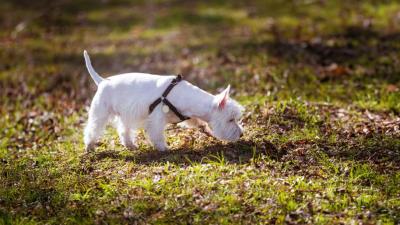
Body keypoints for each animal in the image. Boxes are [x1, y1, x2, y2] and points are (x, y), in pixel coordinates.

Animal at [83, 50, 242, 152]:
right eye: (230, 119)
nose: (241, 134)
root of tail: (102, 81)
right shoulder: (156, 119)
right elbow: (157, 135)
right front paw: (163, 148)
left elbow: (197, 122)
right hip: (100, 113)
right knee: (92, 129)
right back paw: (90, 146)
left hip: (126, 116)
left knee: (124, 131)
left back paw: (130, 145)